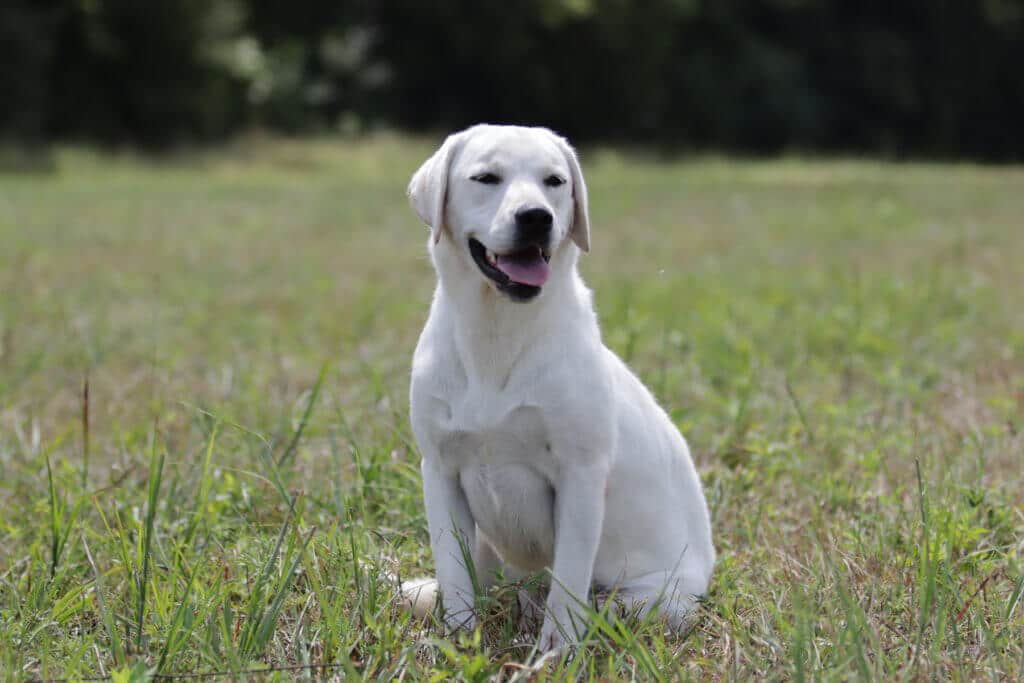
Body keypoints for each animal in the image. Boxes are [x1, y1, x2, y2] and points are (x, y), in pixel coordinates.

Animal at [399, 124, 712, 651]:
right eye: (486, 178)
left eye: (555, 181)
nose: (536, 217)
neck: (498, 332)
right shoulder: (439, 470)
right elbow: (456, 575)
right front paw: (460, 640)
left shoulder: (580, 475)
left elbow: (567, 582)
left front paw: (556, 650)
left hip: (663, 600)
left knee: (607, 603)